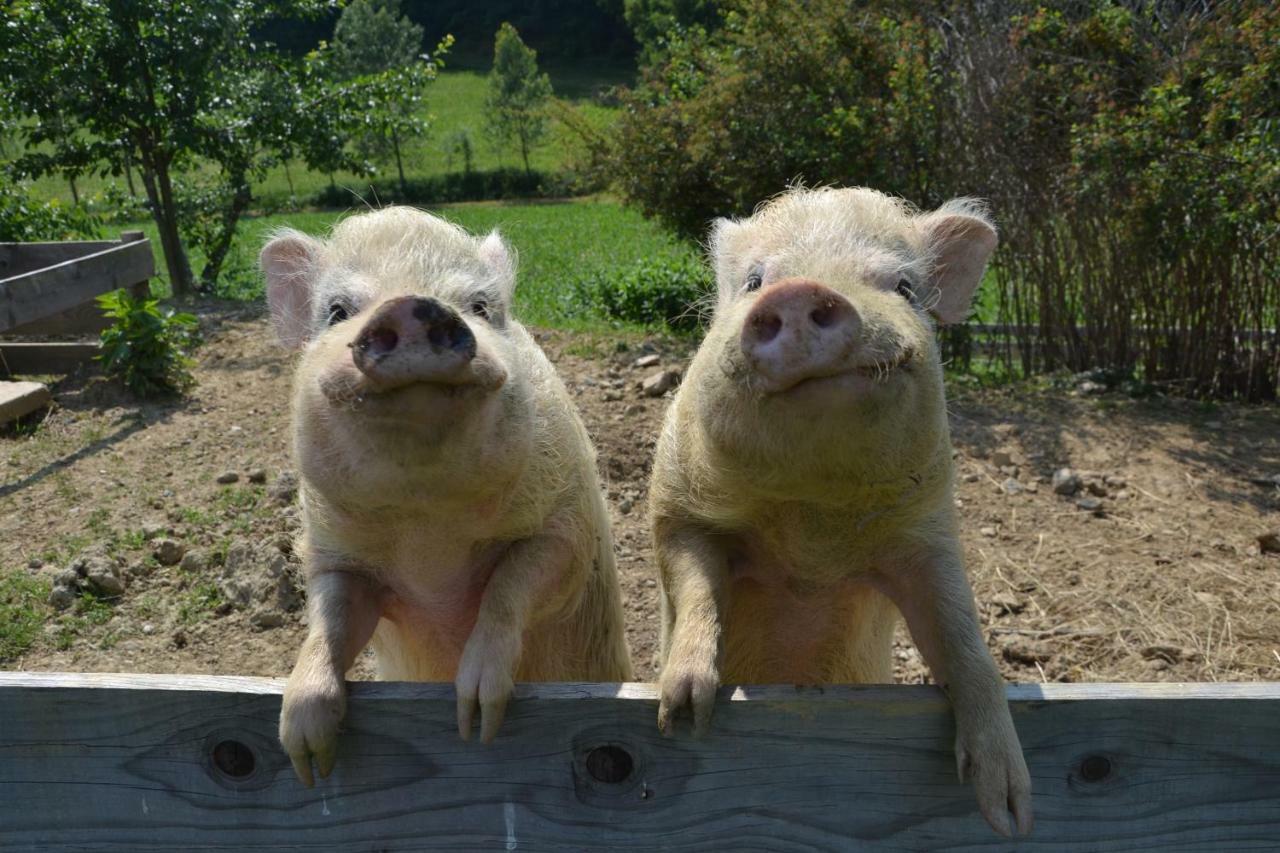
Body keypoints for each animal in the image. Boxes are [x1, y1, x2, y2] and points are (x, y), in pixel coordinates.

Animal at [262, 206, 632, 783]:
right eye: (337, 310)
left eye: (480, 306)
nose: (412, 306)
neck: (428, 530)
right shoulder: (334, 557)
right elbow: (329, 623)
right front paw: (307, 760)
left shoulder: (566, 529)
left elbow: (511, 587)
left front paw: (475, 721)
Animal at [655, 188, 1034, 835]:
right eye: (755, 280)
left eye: (904, 287)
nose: (802, 292)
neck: (811, 538)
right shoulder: (678, 507)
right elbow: (697, 587)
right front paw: (681, 717)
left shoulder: (928, 537)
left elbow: (963, 640)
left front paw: (1011, 813)